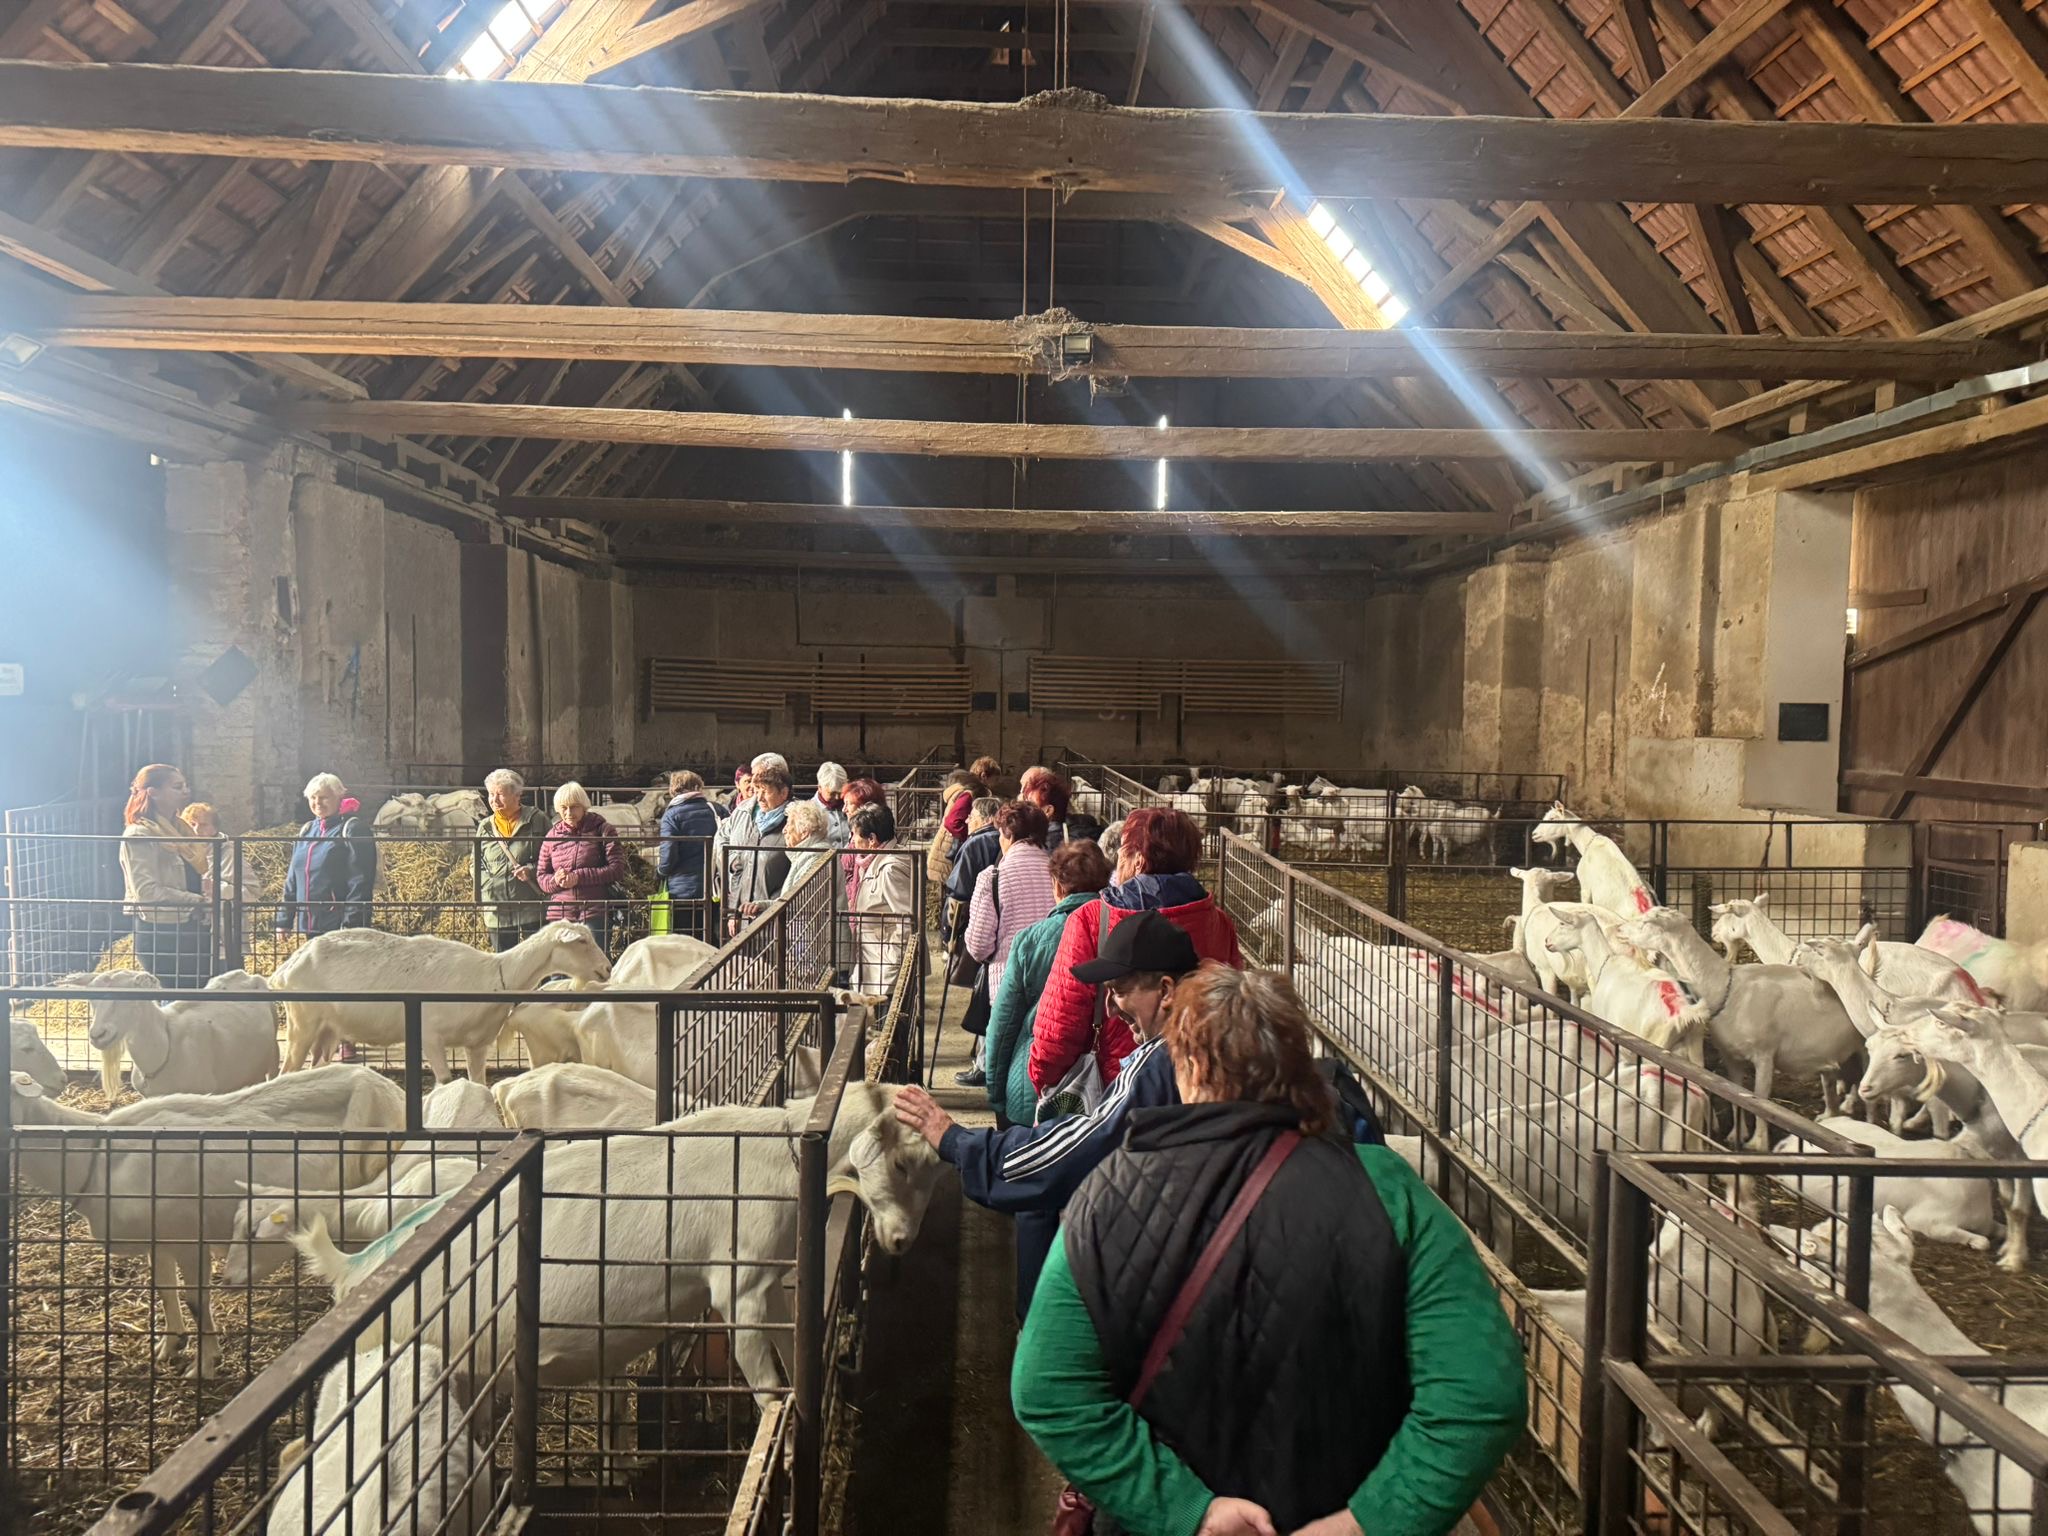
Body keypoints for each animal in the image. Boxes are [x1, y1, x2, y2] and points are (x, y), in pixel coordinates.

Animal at [7, 1063, 405, 1376]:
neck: (96, 1159)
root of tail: (392, 1091)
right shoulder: (161, 1240)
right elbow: (165, 1291)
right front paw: (168, 1346)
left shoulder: (189, 1238)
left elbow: (196, 1301)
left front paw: (205, 1364)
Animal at [272, 920, 612, 1083]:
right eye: (582, 941)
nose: (607, 968)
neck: (493, 974)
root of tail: (287, 966)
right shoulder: (429, 1036)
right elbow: (447, 1080)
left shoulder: (478, 1044)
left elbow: (478, 1082)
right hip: (303, 1020)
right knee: (287, 1070)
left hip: (328, 1029)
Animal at [292, 1082, 943, 1407]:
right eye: (902, 1162)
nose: (901, 1241)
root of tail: (354, 1270)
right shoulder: (738, 1284)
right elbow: (764, 1383)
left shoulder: (770, 1274)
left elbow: (790, 1340)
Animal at [1614, 907, 1863, 1145]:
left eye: (1646, 922)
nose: (1619, 929)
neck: (1727, 987)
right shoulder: (1730, 1056)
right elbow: (1736, 1095)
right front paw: (1737, 1134)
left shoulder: (1764, 1055)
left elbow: (1761, 1100)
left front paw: (1758, 1142)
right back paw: (1830, 1113)